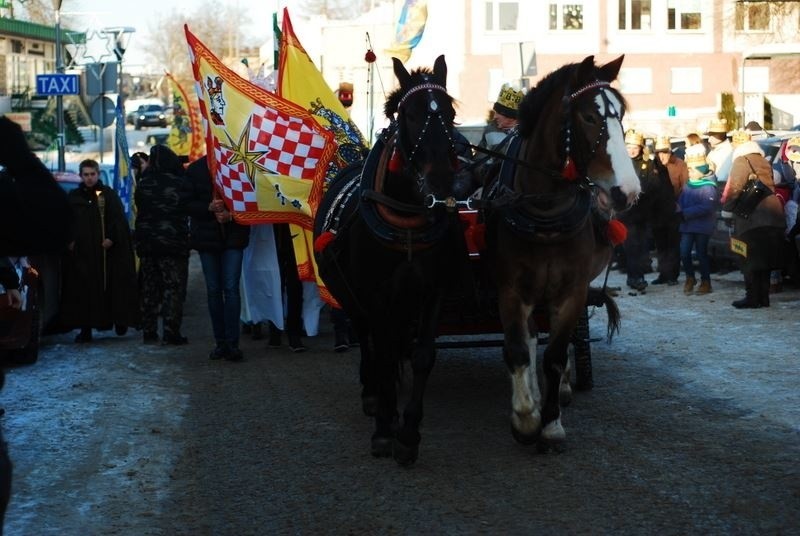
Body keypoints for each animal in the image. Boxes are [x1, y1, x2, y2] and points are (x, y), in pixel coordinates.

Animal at [316, 55, 472, 464]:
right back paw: (373, 395)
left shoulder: (431, 291)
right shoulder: (375, 294)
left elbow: (422, 355)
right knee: (368, 338)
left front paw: (409, 433)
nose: (442, 180)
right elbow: (383, 352)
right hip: (351, 294)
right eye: (410, 115)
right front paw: (385, 429)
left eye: (449, 113)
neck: (406, 221)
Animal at [482, 55, 644, 452]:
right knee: (528, 341)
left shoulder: (572, 292)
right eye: (588, 116)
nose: (627, 191)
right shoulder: (510, 290)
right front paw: (526, 417)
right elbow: (518, 349)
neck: (545, 214)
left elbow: (554, 355)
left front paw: (552, 423)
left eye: (620, 113)